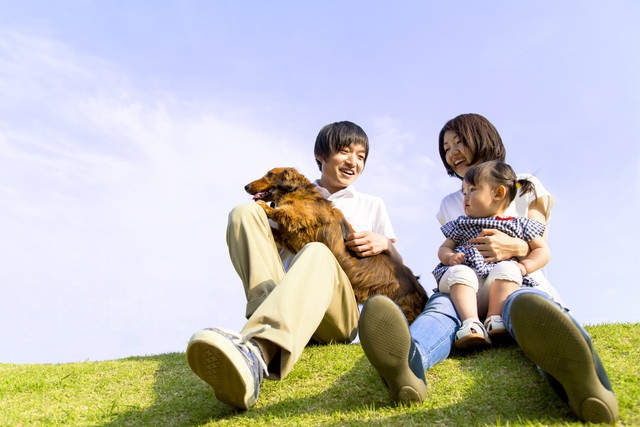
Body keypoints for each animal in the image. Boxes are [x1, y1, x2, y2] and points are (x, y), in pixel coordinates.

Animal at [248, 167, 428, 324]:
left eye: (269, 174)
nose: (245, 186)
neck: (299, 193)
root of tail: (418, 288)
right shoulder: (293, 239)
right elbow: (277, 229)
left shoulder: (303, 215)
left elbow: (283, 211)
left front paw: (264, 206)